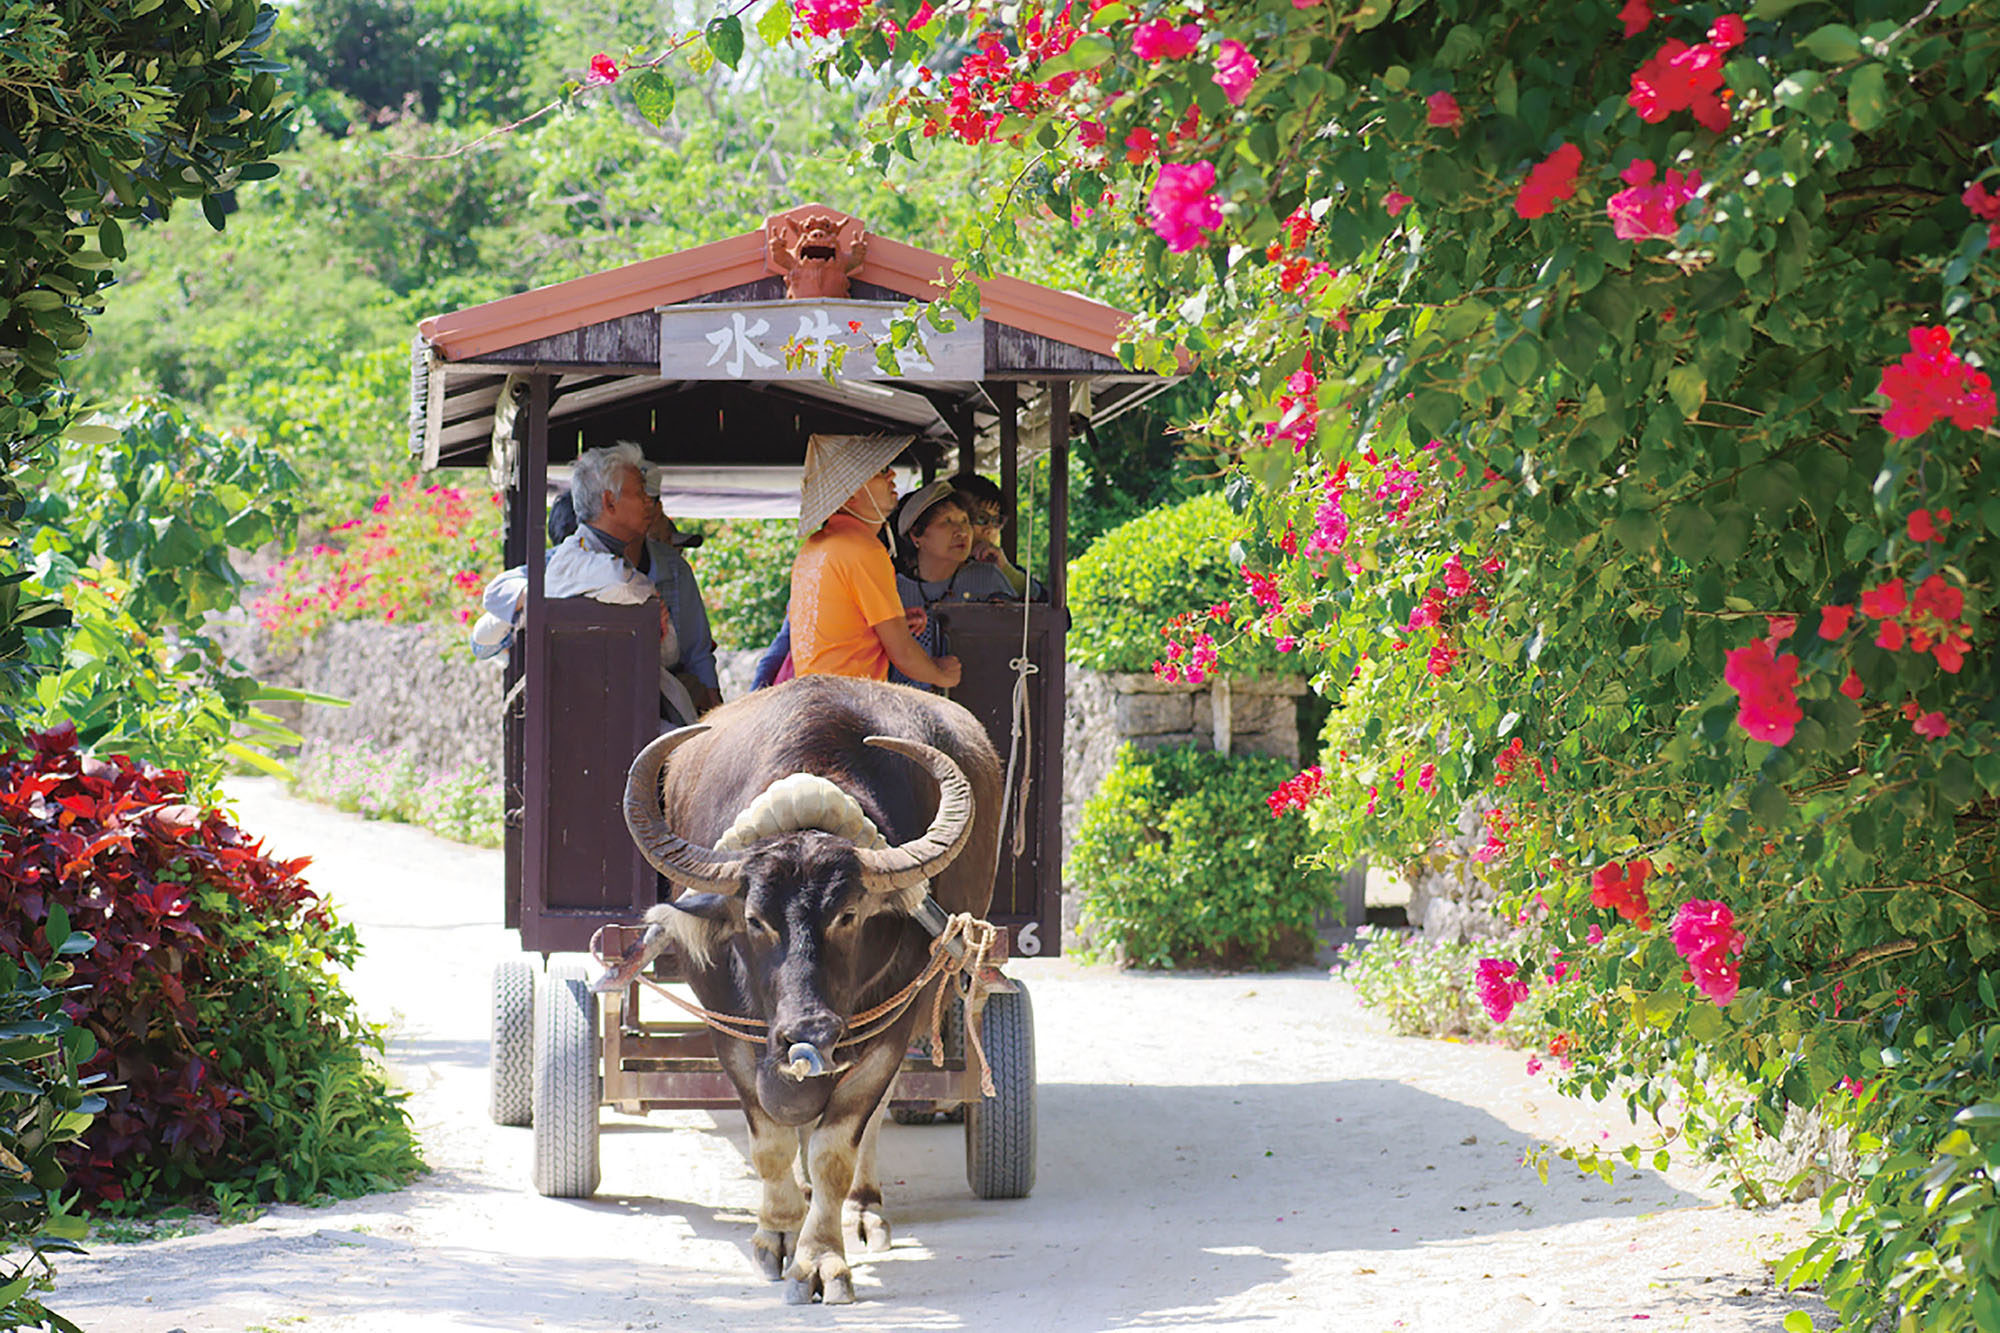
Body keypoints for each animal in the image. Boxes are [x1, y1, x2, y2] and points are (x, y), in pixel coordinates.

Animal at [616, 676, 1008, 1296]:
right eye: (755, 919)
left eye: (848, 914)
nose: (812, 1030)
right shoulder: (731, 1034)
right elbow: (771, 1141)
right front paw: (777, 1233)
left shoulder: (887, 1031)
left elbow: (836, 1148)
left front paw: (821, 1257)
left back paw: (863, 1209)